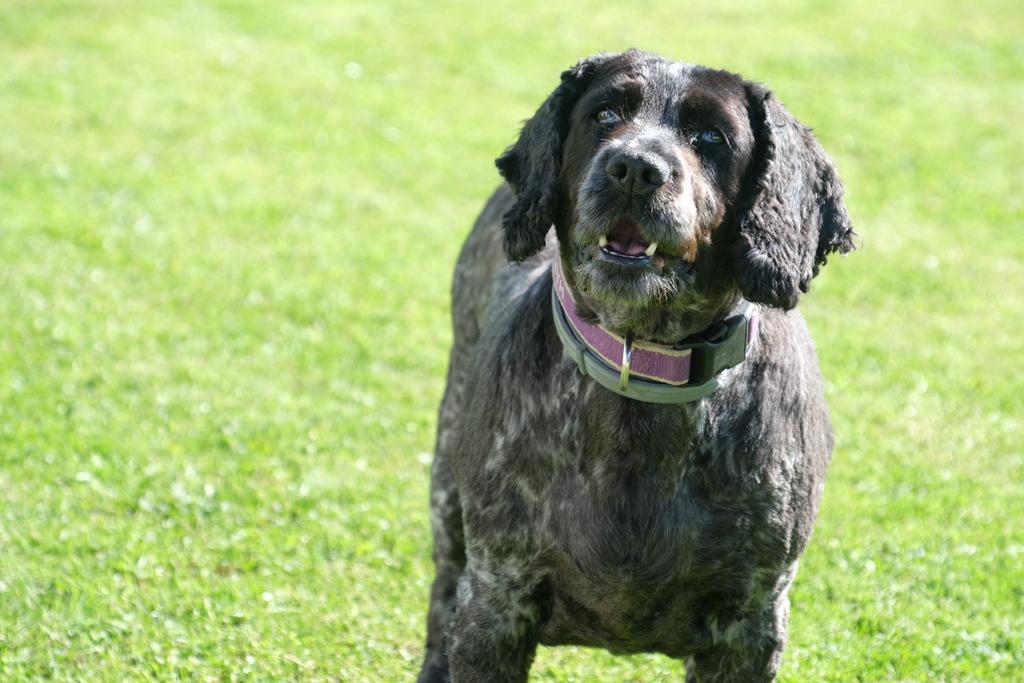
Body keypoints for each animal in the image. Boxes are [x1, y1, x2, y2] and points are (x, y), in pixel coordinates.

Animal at [415, 49, 856, 683]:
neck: (641, 363)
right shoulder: (496, 603)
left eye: (711, 135)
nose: (634, 168)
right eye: (604, 113)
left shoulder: (751, 624)